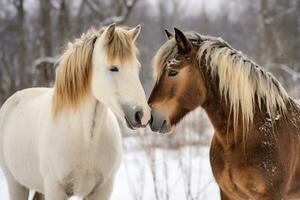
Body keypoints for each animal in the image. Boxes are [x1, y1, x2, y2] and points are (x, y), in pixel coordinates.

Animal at [0, 23, 150, 200]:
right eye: (113, 68)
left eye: (137, 68)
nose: (143, 115)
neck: (86, 140)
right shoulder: (55, 190)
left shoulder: (102, 191)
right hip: (16, 184)